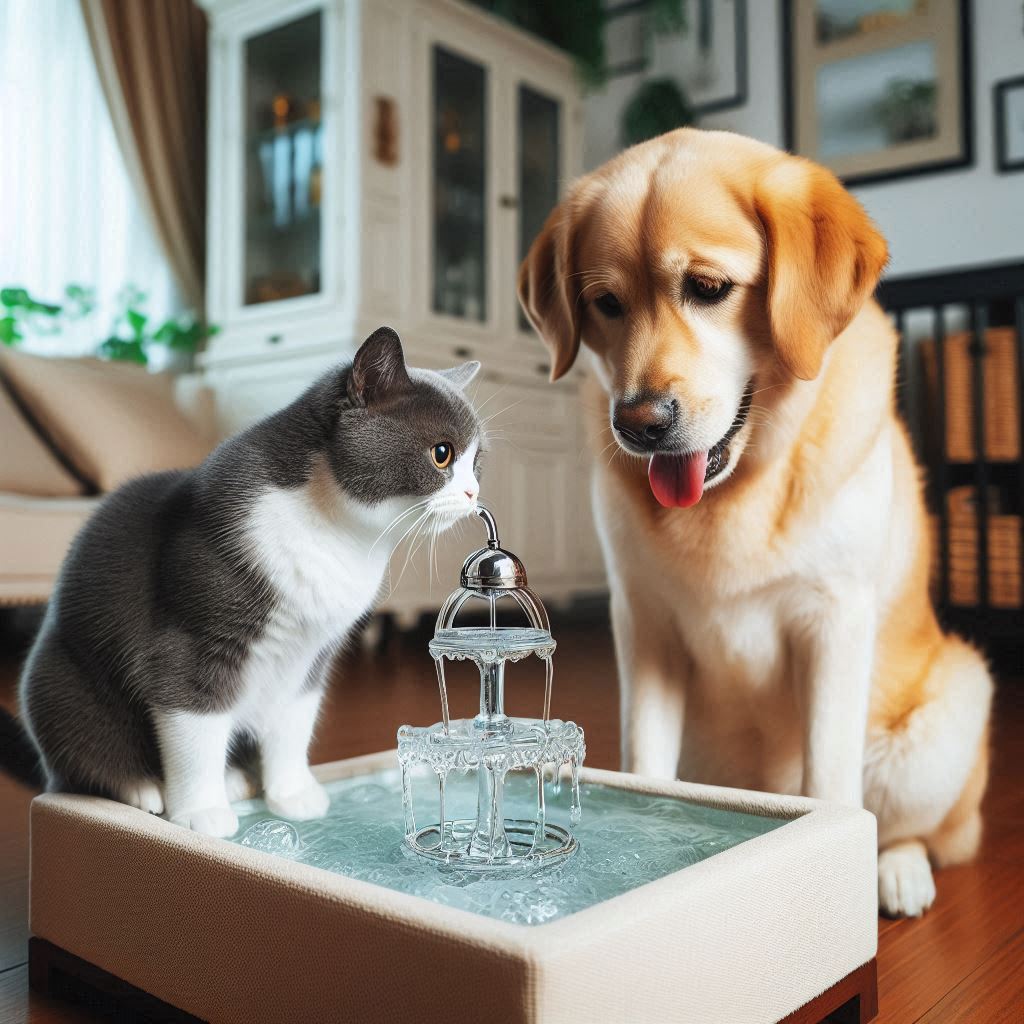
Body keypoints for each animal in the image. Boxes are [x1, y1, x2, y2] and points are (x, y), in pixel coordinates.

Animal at [18, 331, 483, 835]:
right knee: (78, 759)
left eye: (478, 462)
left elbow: (293, 723)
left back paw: (236, 778)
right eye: (442, 454)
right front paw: (201, 812)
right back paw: (141, 787)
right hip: (59, 686)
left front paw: (292, 794)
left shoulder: (311, 652)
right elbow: (194, 724)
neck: (339, 534)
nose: (474, 493)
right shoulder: (193, 639)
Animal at [520, 130, 991, 921]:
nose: (639, 424)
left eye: (708, 288)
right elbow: (647, 764)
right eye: (605, 302)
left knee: (917, 830)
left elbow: (830, 783)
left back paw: (897, 870)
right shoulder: (644, 624)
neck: (732, 492)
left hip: (944, 719)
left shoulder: (832, 622)